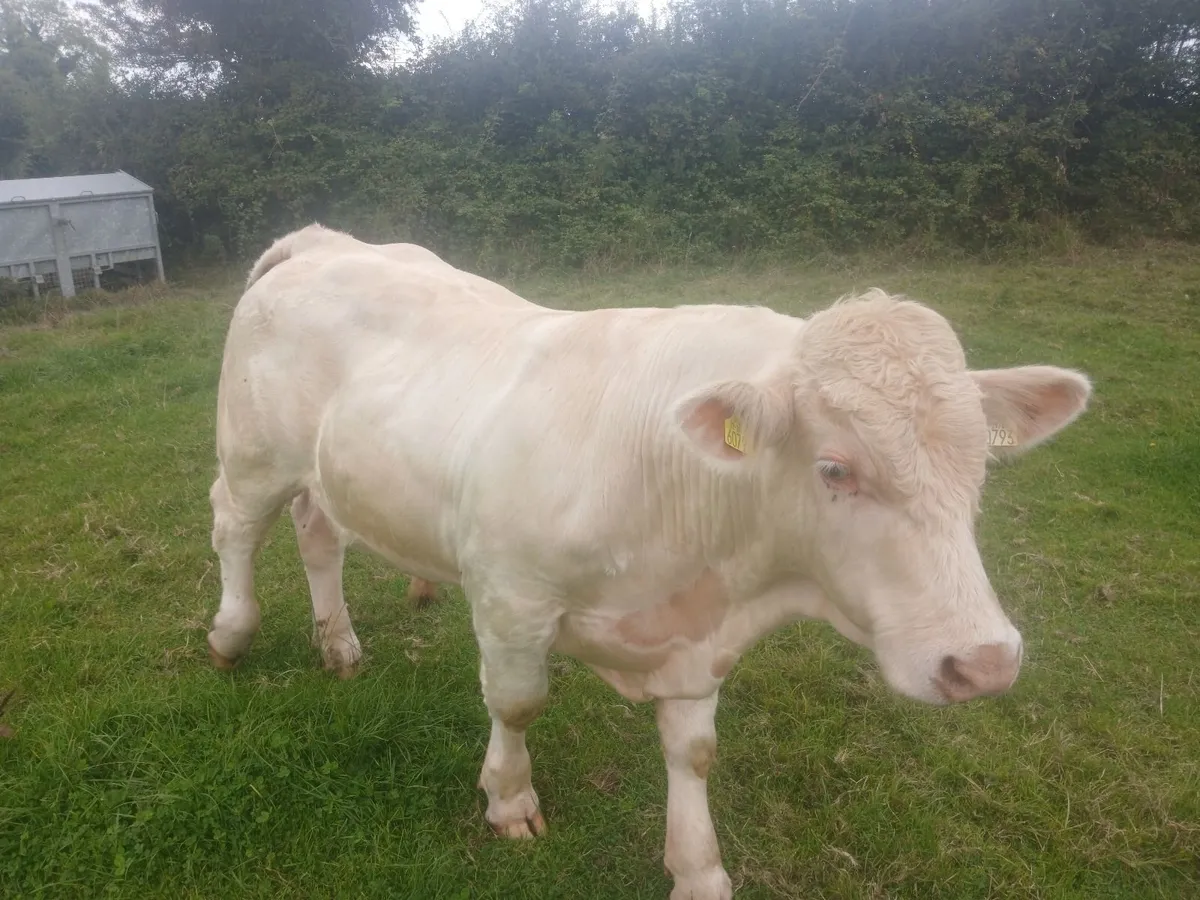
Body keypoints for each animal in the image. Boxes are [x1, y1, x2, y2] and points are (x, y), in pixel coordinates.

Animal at [205, 225, 1091, 899]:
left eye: (982, 463)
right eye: (835, 468)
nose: (984, 663)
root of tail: (324, 241)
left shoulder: (700, 639)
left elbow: (693, 753)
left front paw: (698, 870)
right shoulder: (511, 599)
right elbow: (518, 704)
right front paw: (510, 799)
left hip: (324, 473)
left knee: (319, 535)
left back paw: (338, 643)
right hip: (252, 453)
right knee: (235, 528)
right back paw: (231, 634)